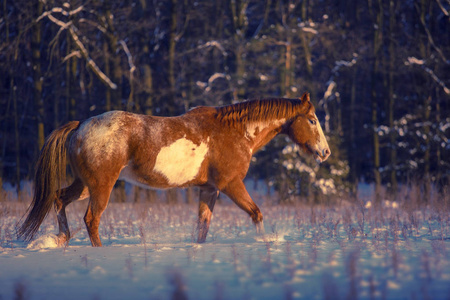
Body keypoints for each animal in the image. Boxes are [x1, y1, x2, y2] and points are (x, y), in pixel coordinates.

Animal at [16, 93, 330, 246]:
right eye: (313, 120)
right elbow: (256, 214)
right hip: (101, 186)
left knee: (59, 199)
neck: (235, 132)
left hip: (84, 185)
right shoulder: (231, 185)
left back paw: (61, 239)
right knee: (92, 219)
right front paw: (266, 243)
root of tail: (80, 125)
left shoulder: (209, 189)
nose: (325, 152)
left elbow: (202, 227)